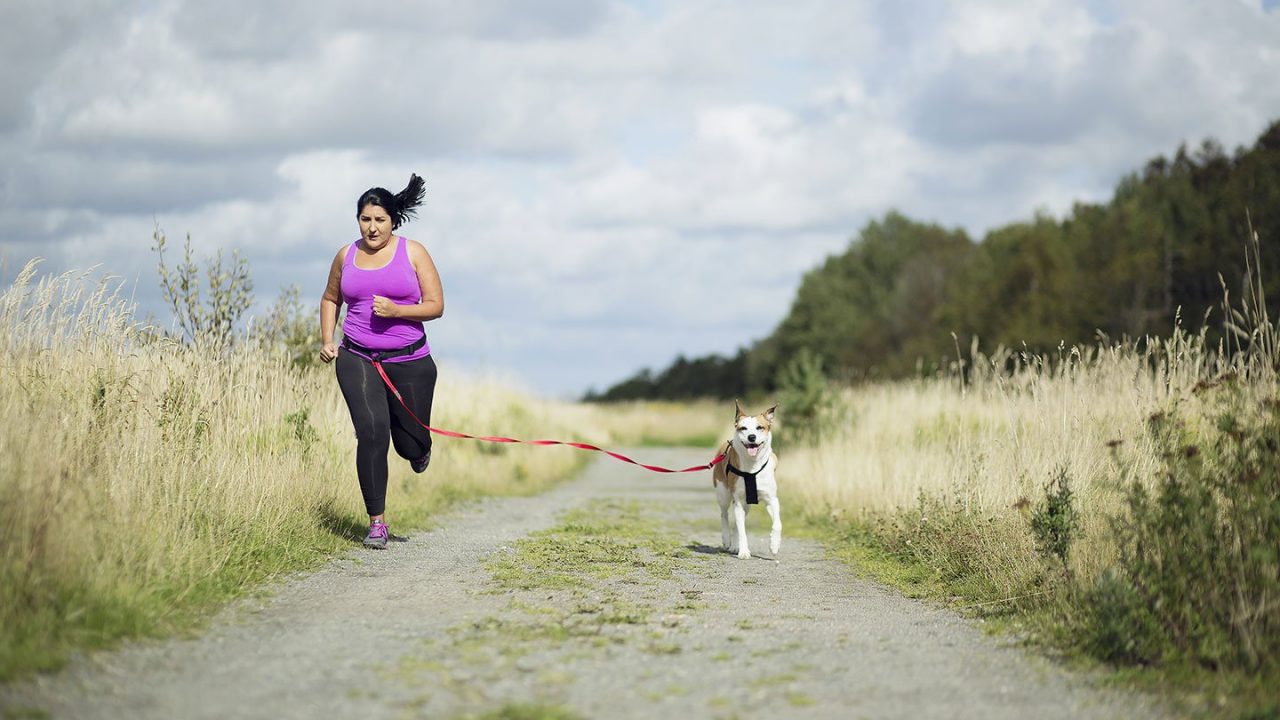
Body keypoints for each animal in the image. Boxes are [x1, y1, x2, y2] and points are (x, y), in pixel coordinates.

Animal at [711, 397, 778, 561]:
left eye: (760, 427)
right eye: (743, 428)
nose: (751, 437)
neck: (752, 466)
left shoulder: (772, 499)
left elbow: (777, 523)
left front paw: (774, 545)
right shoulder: (738, 501)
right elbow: (742, 531)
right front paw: (744, 552)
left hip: (746, 504)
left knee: (737, 522)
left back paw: (735, 545)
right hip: (723, 493)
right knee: (725, 515)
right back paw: (727, 540)